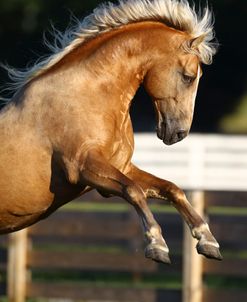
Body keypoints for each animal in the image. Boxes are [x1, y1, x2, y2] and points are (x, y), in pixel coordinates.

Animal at [0, 0, 222, 264]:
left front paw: (208, 240)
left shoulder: (121, 167)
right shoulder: (82, 167)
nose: (179, 133)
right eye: (188, 77)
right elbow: (133, 191)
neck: (88, 94)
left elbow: (171, 189)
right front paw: (157, 244)